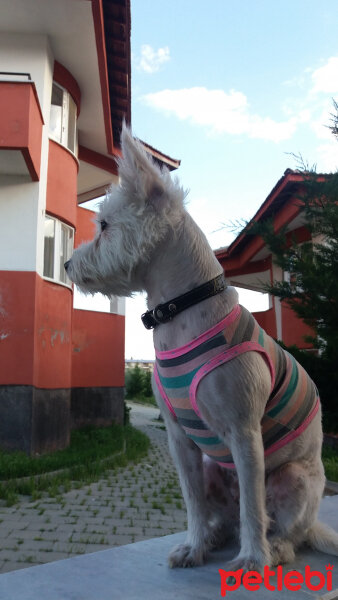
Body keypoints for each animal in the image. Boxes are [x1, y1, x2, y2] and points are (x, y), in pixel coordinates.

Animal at [66, 125, 338, 572]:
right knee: (227, 519)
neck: (180, 311)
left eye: (104, 225)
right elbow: (192, 501)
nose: (68, 265)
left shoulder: (245, 433)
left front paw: (252, 560)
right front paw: (193, 546)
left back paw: (273, 550)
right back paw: (210, 539)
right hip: (214, 468)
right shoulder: (181, 440)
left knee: (281, 527)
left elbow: (253, 507)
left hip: (293, 477)